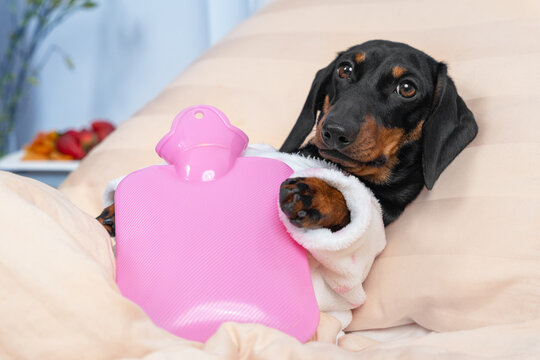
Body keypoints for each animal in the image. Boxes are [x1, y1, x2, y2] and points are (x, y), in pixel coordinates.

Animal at [97, 40, 476, 235]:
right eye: (345, 69)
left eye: (407, 88)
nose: (334, 131)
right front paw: (121, 208)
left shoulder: (380, 211)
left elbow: (351, 204)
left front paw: (318, 195)